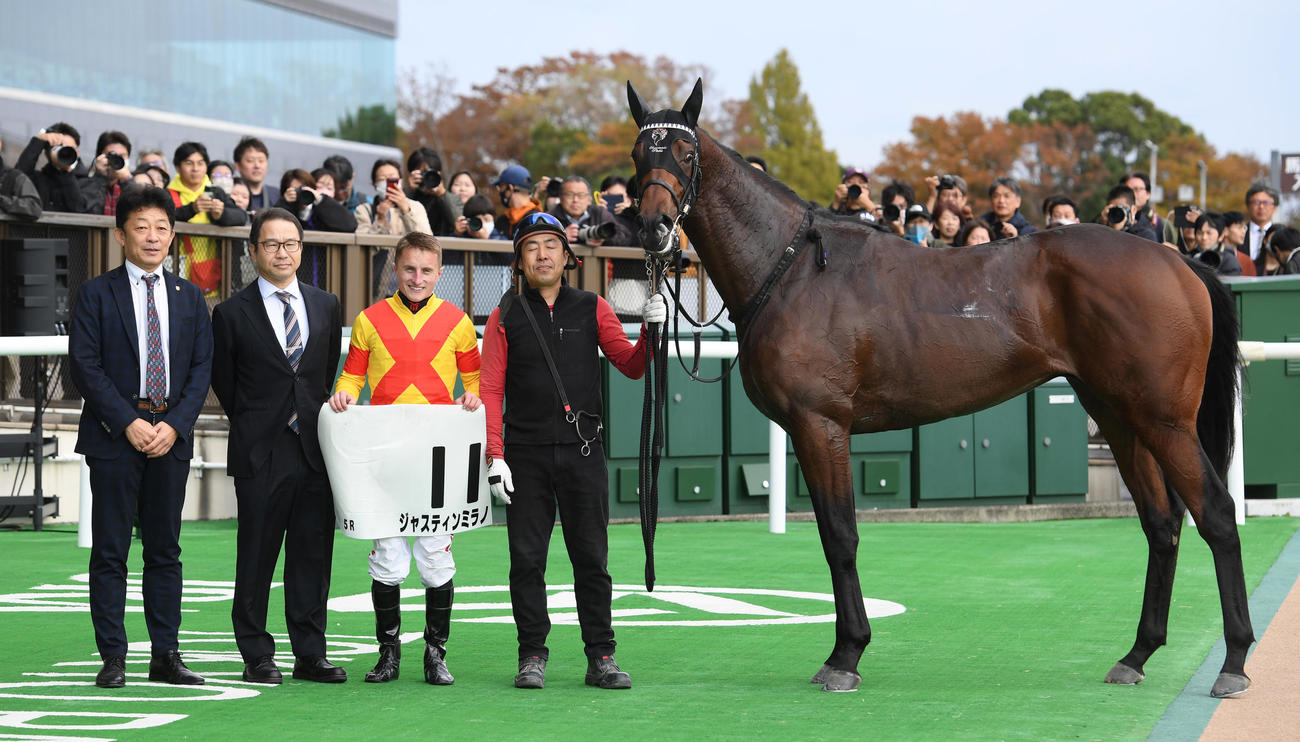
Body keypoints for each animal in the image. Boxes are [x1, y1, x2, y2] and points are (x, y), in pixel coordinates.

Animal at [625, 79, 1252, 696]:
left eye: (684, 153)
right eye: (637, 155)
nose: (653, 228)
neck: (793, 268)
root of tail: (1179, 263)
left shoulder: (821, 425)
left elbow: (840, 535)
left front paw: (846, 654)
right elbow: (833, 534)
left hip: (1165, 421)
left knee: (1217, 514)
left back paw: (1234, 661)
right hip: (1120, 417)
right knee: (1161, 525)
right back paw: (1137, 654)